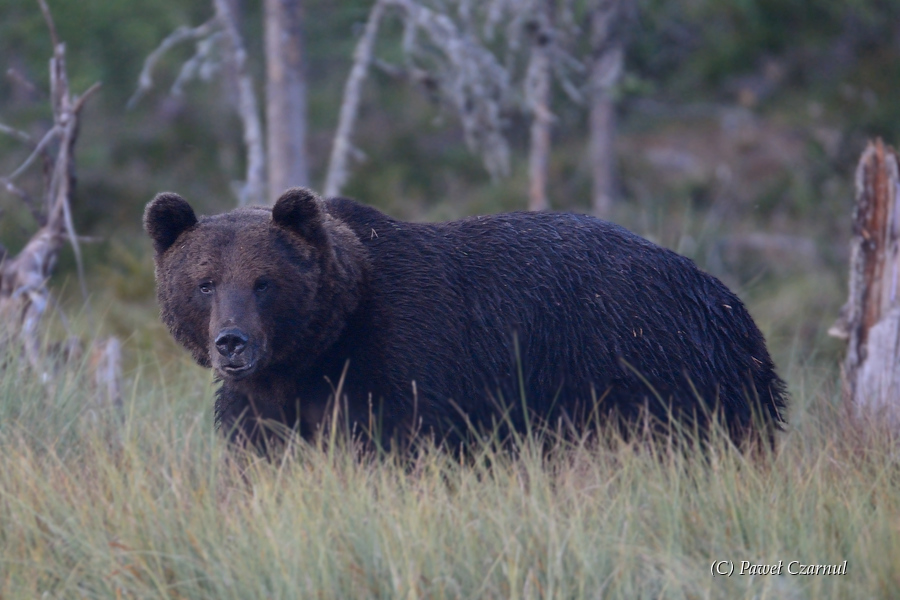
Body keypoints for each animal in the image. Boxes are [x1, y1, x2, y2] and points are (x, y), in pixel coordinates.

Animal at [144, 189, 784, 450]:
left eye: (263, 281)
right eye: (204, 282)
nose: (232, 343)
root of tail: (728, 301)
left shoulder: (407, 363)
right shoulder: (262, 404)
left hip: (655, 368)